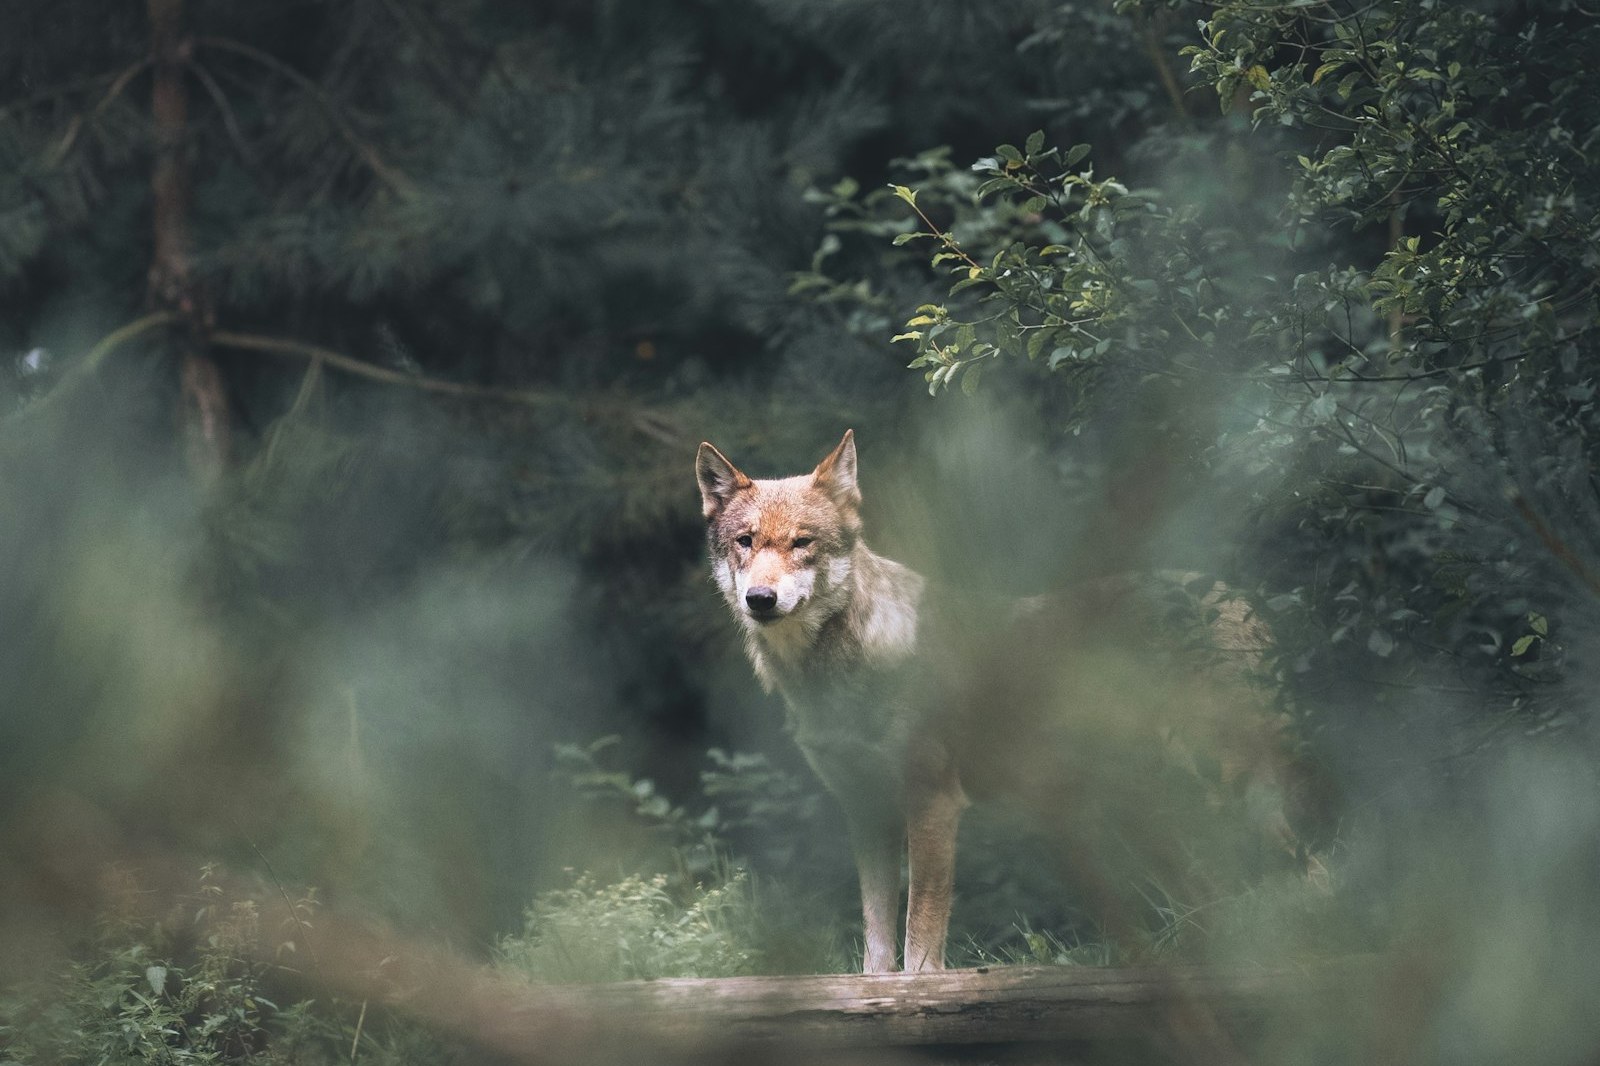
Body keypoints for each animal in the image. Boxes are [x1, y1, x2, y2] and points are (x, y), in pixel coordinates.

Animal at [695, 430, 1304, 973]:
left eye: (802, 543)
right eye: (746, 541)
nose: (761, 599)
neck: (835, 676)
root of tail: (1247, 600)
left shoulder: (933, 802)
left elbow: (919, 945)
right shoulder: (866, 813)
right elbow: (876, 952)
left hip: (1222, 795)